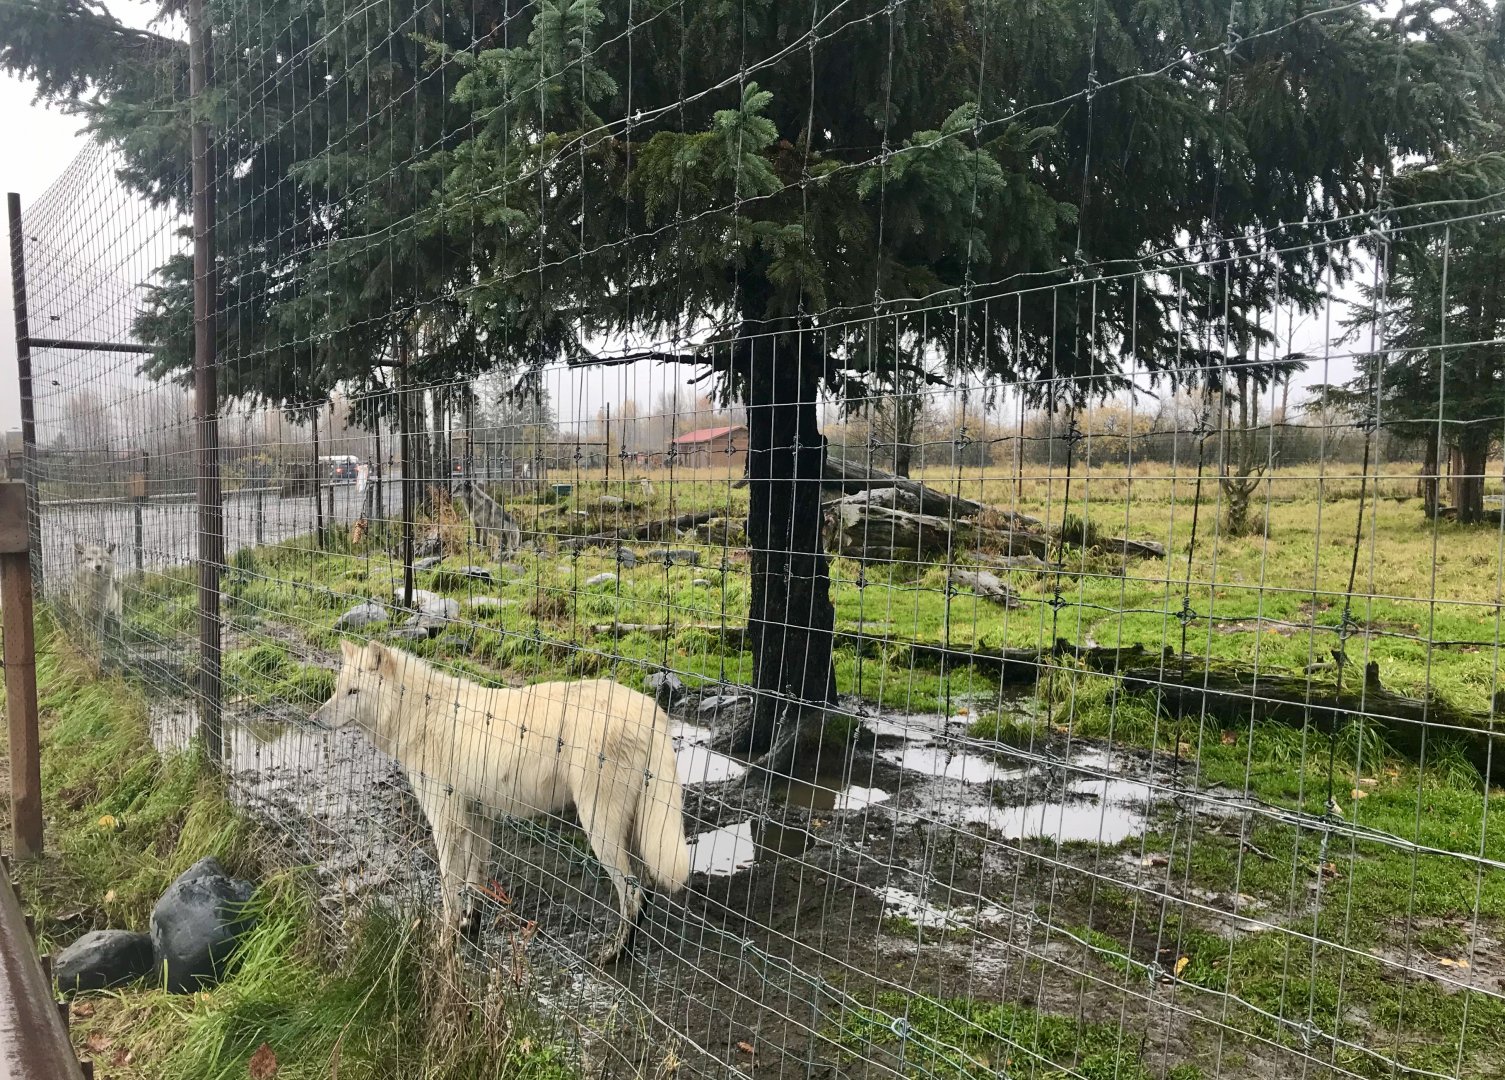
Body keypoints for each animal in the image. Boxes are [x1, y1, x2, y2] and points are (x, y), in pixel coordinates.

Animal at [311, 640, 690, 962]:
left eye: (354, 692)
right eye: (338, 688)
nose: (315, 718)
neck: (420, 714)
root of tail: (652, 711)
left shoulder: (448, 824)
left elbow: (450, 891)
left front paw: (445, 943)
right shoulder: (479, 819)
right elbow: (474, 883)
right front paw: (469, 928)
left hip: (600, 830)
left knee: (633, 893)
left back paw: (615, 953)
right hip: (630, 832)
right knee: (645, 886)